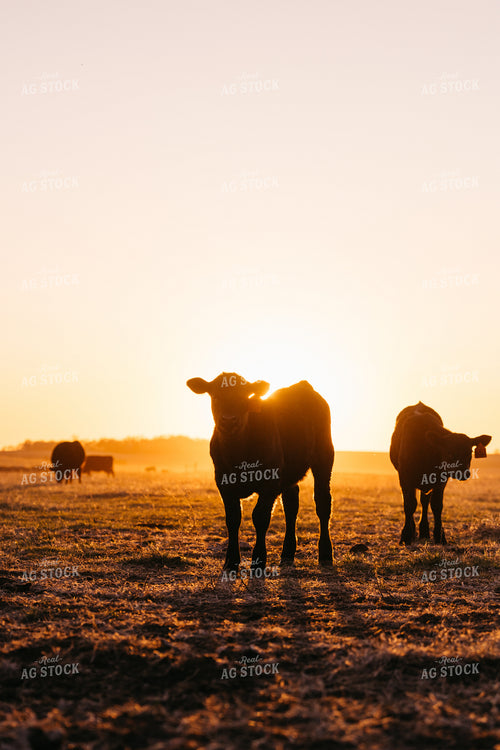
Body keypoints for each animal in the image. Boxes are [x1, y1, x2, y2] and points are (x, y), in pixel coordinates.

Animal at [187, 372, 334, 571]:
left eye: (244, 397)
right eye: (215, 397)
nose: (229, 419)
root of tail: (303, 386)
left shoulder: (270, 482)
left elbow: (260, 517)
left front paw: (259, 560)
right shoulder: (223, 483)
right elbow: (232, 519)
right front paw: (231, 561)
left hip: (324, 457)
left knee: (322, 502)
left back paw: (325, 554)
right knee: (291, 505)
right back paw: (287, 554)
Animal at [390, 402, 491, 545]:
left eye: (469, 452)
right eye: (449, 453)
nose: (463, 473)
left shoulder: (440, 480)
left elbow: (436, 505)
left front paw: (440, 536)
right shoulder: (405, 478)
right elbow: (409, 505)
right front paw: (406, 536)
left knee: (424, 501)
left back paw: (424, 531)